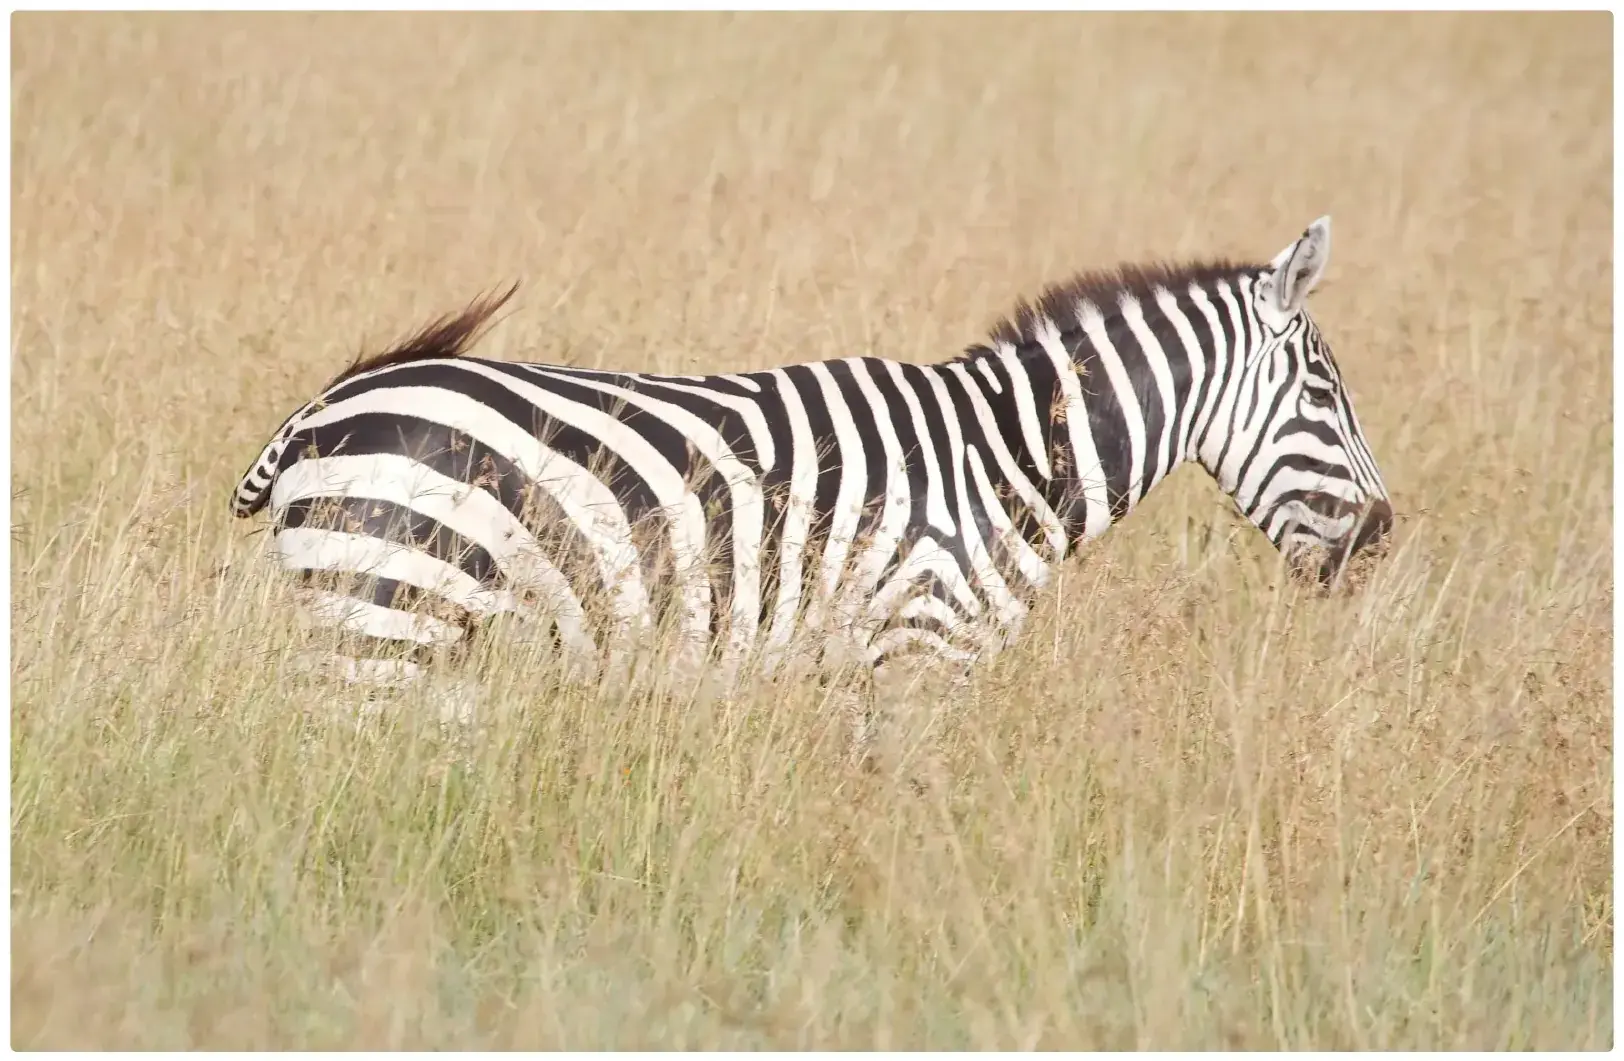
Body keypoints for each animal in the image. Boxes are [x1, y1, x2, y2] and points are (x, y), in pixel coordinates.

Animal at [231, 215, 1392, 710]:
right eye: (1325, 397)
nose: (1382, 543)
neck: (1008, 457)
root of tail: (319, 409)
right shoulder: (923, 645)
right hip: (384, 618)